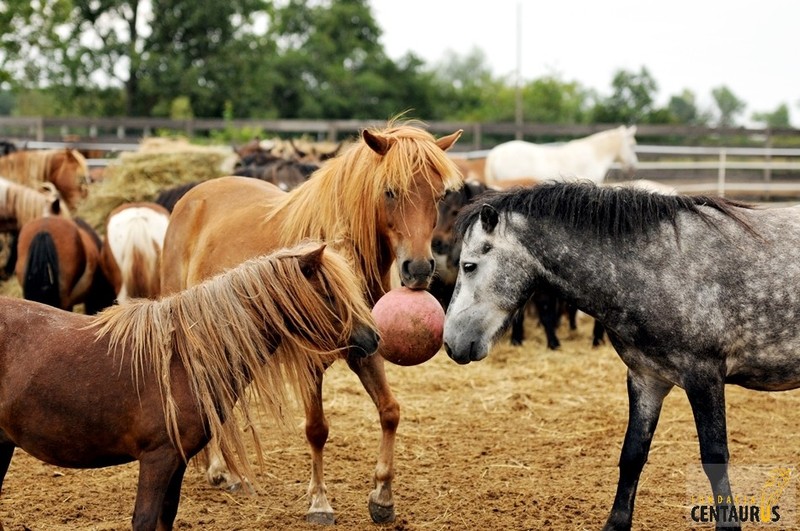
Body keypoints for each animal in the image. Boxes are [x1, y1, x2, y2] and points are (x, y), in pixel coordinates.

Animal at [0, 244, 380, 531]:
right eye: (329, 294)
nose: (373, 338)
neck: (180, 361)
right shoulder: (158, 458)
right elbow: (144, 520)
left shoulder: (177, 461)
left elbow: (165, 519)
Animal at [161, 119, 462, 524]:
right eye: (390, 191)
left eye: (439, 196)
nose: (418, 269)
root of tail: (193, 196)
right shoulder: (309, 363)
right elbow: (317, 429)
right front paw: (319, 502)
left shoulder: (366, 349)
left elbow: (390, 412)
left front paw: (382, 496)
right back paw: (218, 470)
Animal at [444, 183, 800, 531]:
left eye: (469, 265)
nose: (450, 342)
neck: (660, 267)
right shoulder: (647, 378)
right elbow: (632, 454)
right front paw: (616, 523)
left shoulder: (705, 377)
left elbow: (714, 456)